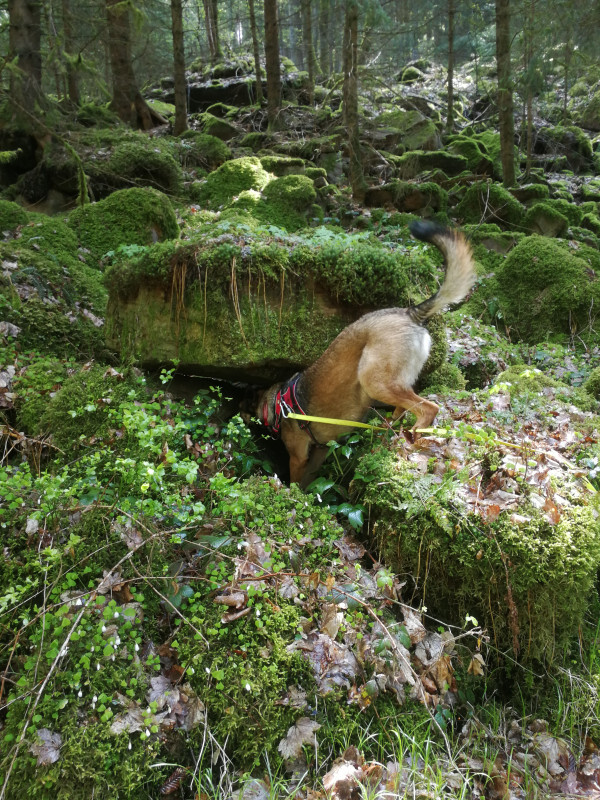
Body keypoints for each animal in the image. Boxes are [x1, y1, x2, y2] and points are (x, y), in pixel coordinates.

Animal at [255, 219, 476, 488]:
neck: (279, 403)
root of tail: (410, 312)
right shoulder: (319, 453)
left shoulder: (298, 457)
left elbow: (296, 482)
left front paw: (289, 492)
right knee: (403, 409)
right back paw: (387, 432)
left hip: (375, 381)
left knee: (427, 408)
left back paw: (412, 439)